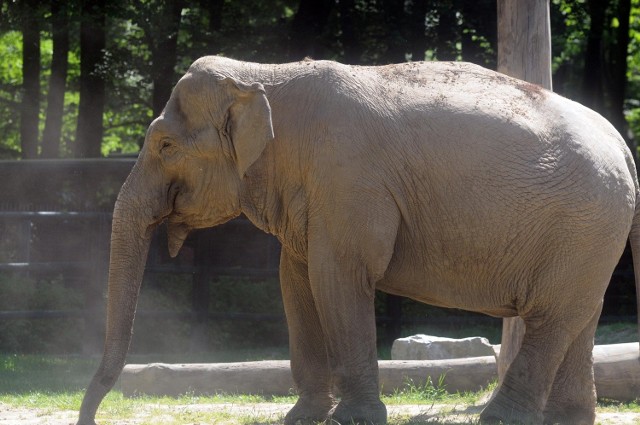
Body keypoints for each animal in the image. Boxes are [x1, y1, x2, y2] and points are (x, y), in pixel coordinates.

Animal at [76, 56, 640, 424]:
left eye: (165, 146)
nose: (91, 418)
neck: (263, 75)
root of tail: (623, 144)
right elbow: (296, 282)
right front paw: (301, 419)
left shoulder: (348, 183)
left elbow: (339, 278)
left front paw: (354, 419)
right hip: (591, 235)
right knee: (578, 318)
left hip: (583, 225)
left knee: (550, 318)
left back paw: (501, 421)